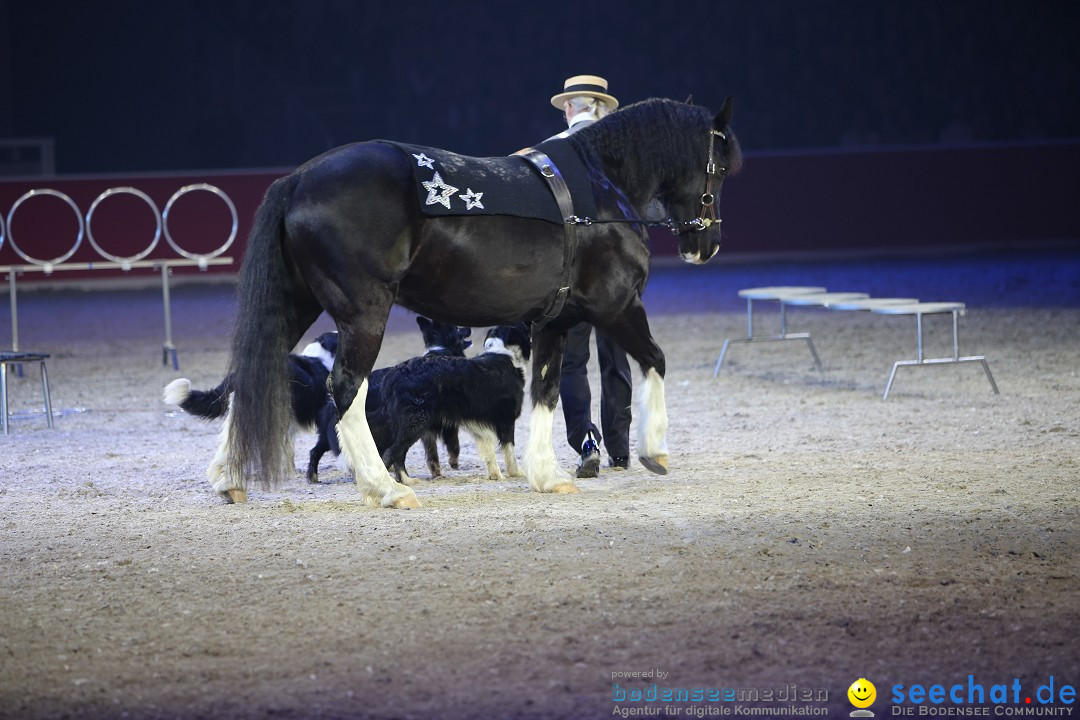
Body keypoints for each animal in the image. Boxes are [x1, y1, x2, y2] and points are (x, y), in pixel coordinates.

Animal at [306, 317, 470, 481]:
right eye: (457, 328)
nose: (468, 328)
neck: (440, 348)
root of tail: (332, 399)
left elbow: (432, 452)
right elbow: (453, 444)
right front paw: (452, 464)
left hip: (333, 436)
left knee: (316, 450)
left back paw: (313, 476)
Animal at [365, 325, 529, 483]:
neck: (503, 351)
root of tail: (394, 373)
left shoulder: (480, 424)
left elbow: (489, 451)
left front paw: (495, 475)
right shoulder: (506, 419)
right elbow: (510, 450)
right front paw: (515, 473)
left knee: (397, 453)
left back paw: (406, 480)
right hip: (415, 423)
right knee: (392, 452)